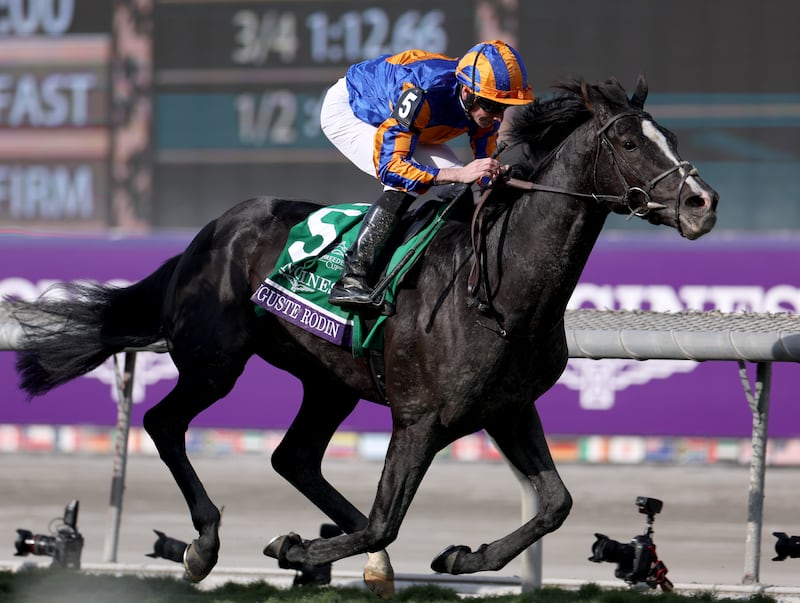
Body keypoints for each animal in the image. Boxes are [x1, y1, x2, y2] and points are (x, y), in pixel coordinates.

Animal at [7, 76, 720, 600]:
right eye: (627, 142)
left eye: (668, 135)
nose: (701, 203)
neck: (501, 289)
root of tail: (208, 233)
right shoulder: (421, 417)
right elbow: (387, 517)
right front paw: (297, 546)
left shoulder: (510, 408)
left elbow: (555, 505)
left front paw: (459, 556)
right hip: (215, 362)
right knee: (165, 423)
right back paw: (203, 547)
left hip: (329, 383)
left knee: (292, 457)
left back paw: (366, 564)